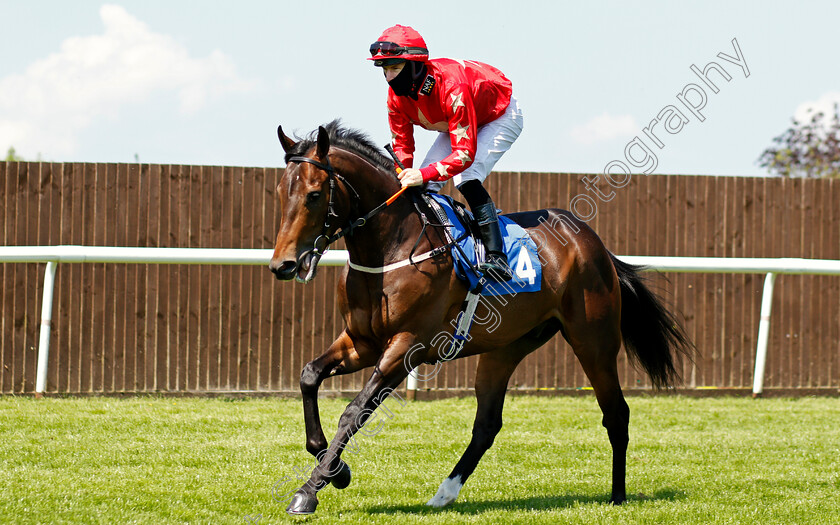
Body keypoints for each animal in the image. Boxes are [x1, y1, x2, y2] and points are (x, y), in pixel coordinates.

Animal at [268, 121, 688, 512]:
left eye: (314, 194)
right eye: (279, 192)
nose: (283, 265)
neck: (390, 250)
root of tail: (591, 241)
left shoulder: (407, 346)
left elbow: (354, 411)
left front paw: (310, 489)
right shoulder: (361, 342)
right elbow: (309, 376)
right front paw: (335, 469)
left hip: (593, 341)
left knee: (616, 413)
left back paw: (618, 496)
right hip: (505, 347)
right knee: (487, 425)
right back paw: (444, 493)